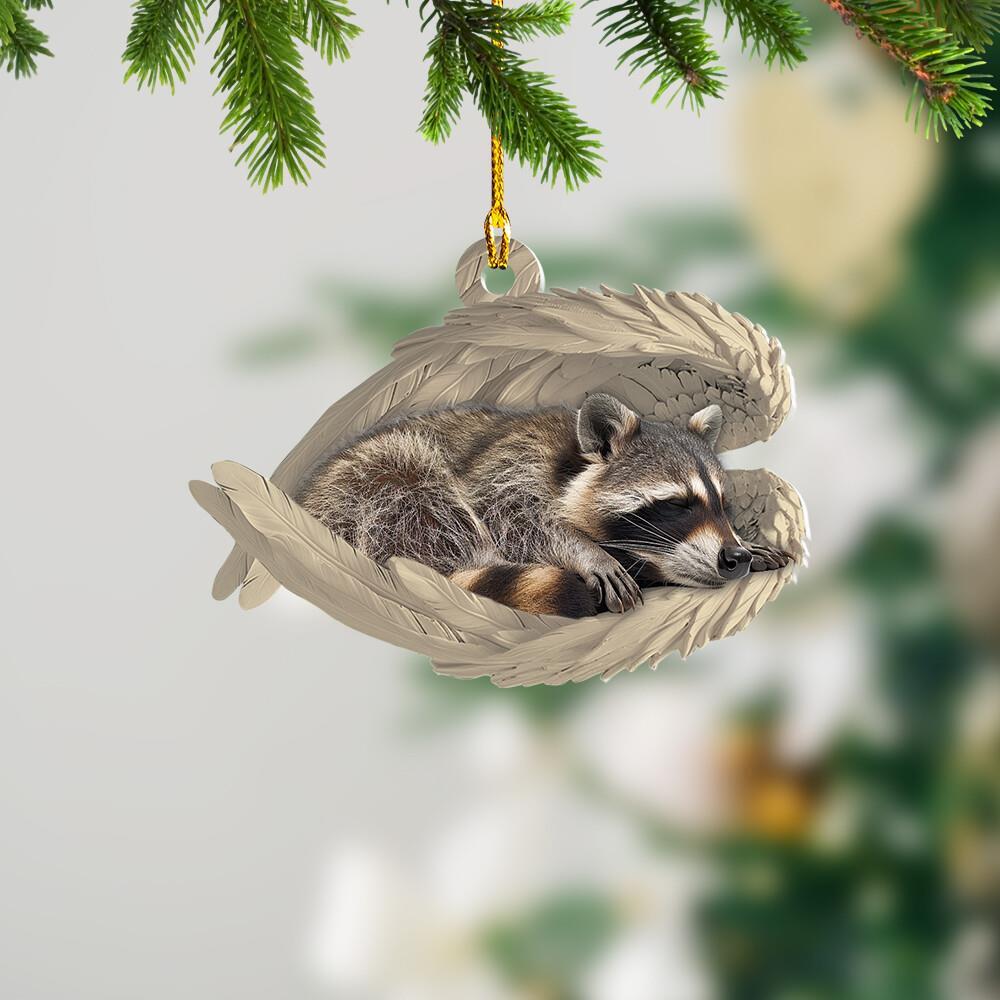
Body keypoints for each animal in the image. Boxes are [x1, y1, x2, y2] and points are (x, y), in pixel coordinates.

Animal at [294, 394, 790, 618]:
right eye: (678, 504)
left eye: (722, 504)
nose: (733, 557)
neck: (572, 460)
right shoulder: (507, 466)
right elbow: (509, 518)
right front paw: (585, 551)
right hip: (373, 488)